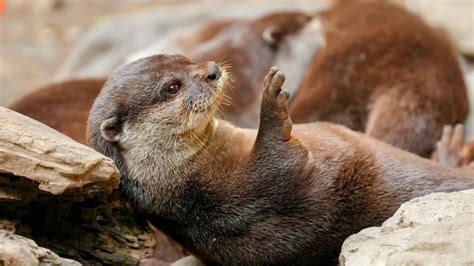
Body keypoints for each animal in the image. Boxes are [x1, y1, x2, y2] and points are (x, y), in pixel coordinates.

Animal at [87, 53, 472, 264]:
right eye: (172, 87)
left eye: (184, 60)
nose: (212, 70)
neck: (186, 182)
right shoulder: (238, 201)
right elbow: (285, 162)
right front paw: (271, 102)